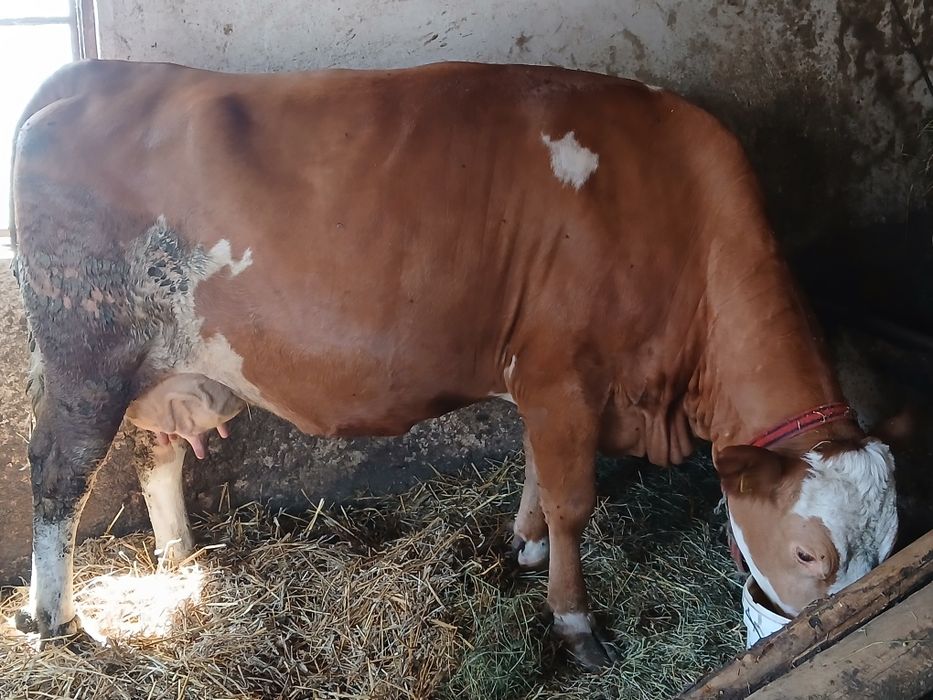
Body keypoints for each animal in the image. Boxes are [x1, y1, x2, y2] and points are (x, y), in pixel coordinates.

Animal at [9, 59, 896, 669]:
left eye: (887, 546)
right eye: (808, 554)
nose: (838, 623)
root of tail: (92, 74)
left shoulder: (547, 386)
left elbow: (536, 472)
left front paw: (525, 548)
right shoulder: (562, 373)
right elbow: (573, 500)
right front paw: (573, 621)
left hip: (157, 366)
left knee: (153, 455)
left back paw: (181, 559)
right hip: (87, 352)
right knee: (58, 473)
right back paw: (57, 617)